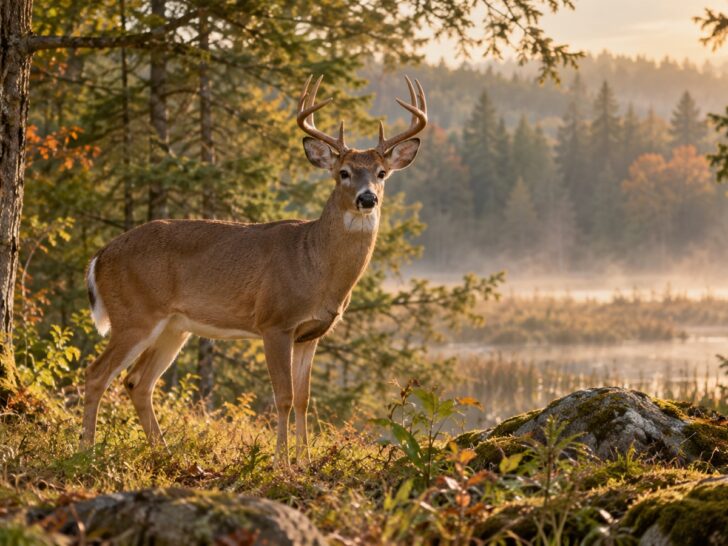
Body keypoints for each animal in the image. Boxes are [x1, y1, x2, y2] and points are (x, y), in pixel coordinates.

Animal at [81, 75, 427, 466]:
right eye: (344, 173)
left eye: (382, 173)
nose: (367, 198)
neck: (315, 264)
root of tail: (100, 256)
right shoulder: (274, 321)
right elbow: (284, 397)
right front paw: (282, 465)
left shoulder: (311, 333)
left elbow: (305, 399)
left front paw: (305, 462)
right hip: (134, 314)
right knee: (96, 375)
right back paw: (86, 452)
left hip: (173, 327)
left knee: (137, 382)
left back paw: (165, 453)